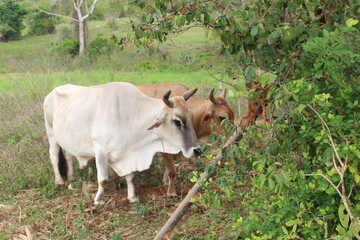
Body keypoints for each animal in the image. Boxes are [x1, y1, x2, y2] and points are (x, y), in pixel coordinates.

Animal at [43, 82, 201, 204]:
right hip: (51, 133)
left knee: (68, 155)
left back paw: (71, 176)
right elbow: (103, 179)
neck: (128, 116)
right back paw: (59, 181)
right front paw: (98, 199)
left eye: (192, 116)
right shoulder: (100, 151)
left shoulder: (127, 152)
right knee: (54, 156)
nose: (197, 150)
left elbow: (130, 177)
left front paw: (132, 197)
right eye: (177, 121)